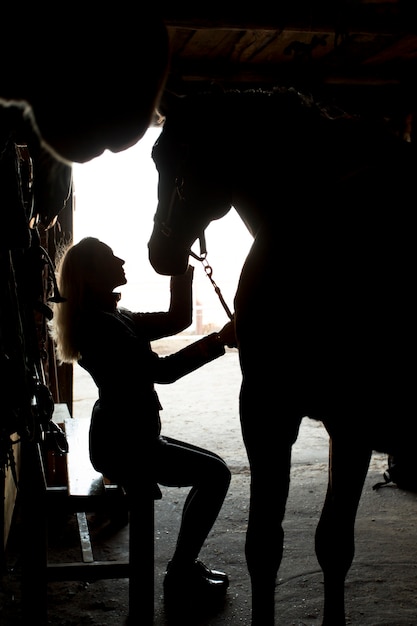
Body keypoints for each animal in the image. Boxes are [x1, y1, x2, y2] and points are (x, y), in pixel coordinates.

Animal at [147, 85, 416, 620]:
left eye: (166, 157)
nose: (157, 252)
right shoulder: (344, 425)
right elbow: (330, 545)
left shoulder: (276, 410)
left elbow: (272, 546)